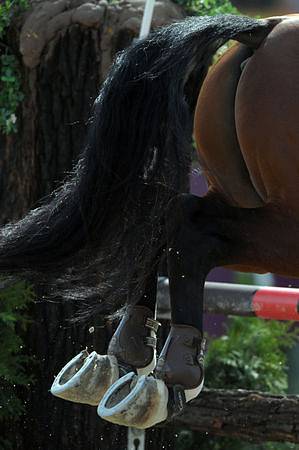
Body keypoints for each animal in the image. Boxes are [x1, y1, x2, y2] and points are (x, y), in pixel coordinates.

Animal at [1, 13, 298, 428]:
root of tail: (264, 29)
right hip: (285, 231)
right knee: (190, 232)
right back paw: (176, 375)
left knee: (161, 219)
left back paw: (125, 355)